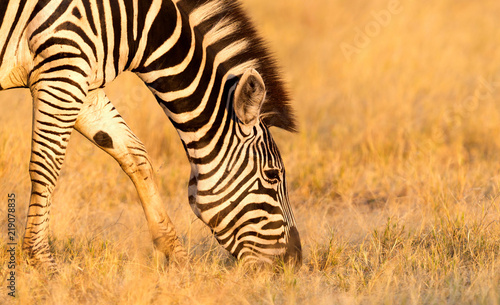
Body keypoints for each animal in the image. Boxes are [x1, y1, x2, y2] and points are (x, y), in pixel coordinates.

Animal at [0, 0, 300, 270]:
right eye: (273, 175)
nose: (294, 262)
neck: (135, 24)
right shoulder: (62, 70)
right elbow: (46, 165)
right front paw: (41, 259)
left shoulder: (83, 81)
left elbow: (134, 154)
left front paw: (176, 256)